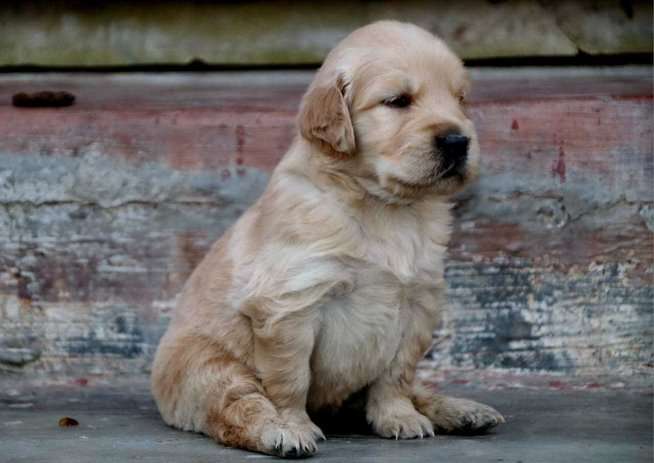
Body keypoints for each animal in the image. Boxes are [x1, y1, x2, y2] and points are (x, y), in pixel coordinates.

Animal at [151, 20, 504, 458]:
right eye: (397, 101)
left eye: (460, 100)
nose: (458, 141)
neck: (384, 207)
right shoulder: (291, 304)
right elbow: (290, 380)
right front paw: (293, 426)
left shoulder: (419, 302)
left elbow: (398, 374)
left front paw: (398, 417)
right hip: (207, 365)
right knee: (238, 404)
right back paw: (274, 432)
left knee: (415, 390)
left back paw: (462, 410)